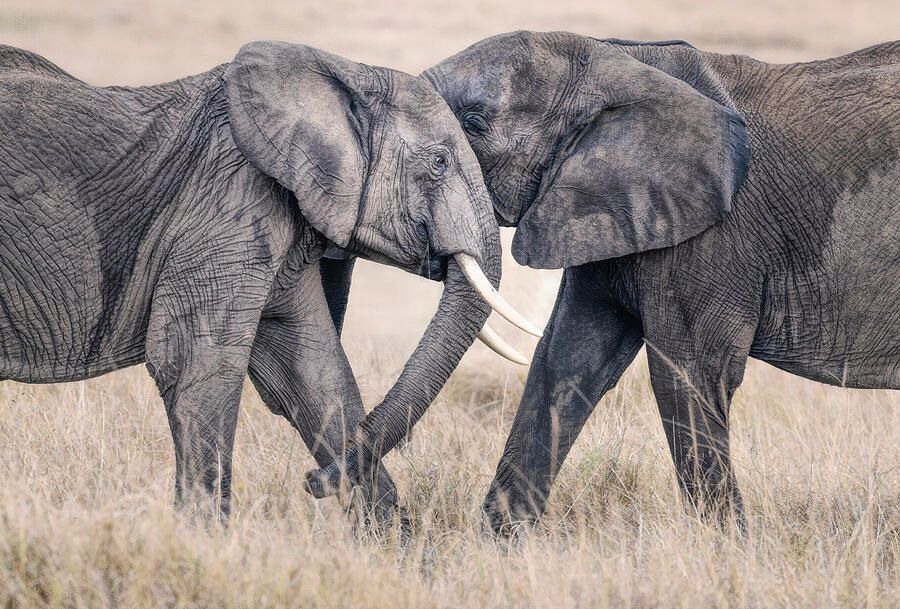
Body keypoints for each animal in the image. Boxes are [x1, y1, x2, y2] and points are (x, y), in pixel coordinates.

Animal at [0, 41, 536, 522]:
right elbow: (196, 363)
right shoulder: (227, 206)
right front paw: (201, 543)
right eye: (439, 162)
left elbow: (314, 372)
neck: (345, 71)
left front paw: (392, 551)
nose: (311, 482)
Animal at [308, 31, 900, 534]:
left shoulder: (712, 236)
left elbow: (689, 376)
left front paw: (731, 556)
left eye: (473, 123)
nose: (313, 481)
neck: (619, 62)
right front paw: (496, 551)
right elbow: (563, 363)